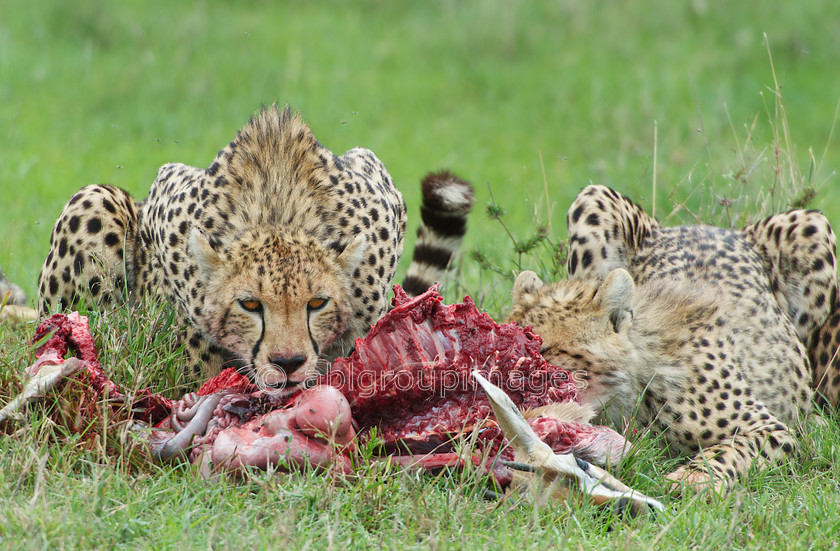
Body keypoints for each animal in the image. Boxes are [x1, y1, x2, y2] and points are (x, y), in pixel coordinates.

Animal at [37, 105, 472, 394]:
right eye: (249, 305)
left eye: (317, 303)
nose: (288, 363)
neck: (278, 212)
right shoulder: (168, 198)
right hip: (94, 202)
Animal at [506, 183, 840, 494]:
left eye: (545, 349)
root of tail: (710, 227)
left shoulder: (771, 428)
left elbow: (732, 450)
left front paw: (693, 478)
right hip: (594, 196)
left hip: (814, 229)